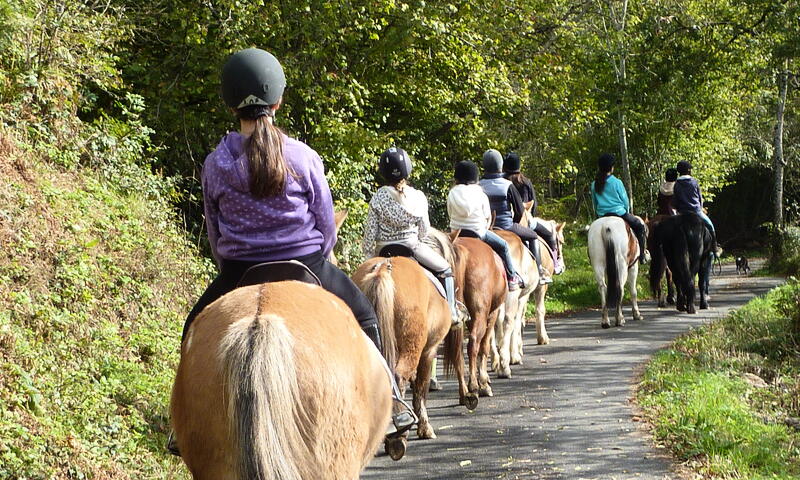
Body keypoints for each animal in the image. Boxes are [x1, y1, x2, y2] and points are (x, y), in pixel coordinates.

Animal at [352, 253, 468, 460]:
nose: (464, 313)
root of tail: (383, 268)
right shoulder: (429, 351)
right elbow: (421, 389)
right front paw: (424, 428)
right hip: (411, 349)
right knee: (399, 378)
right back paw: (399, 434)